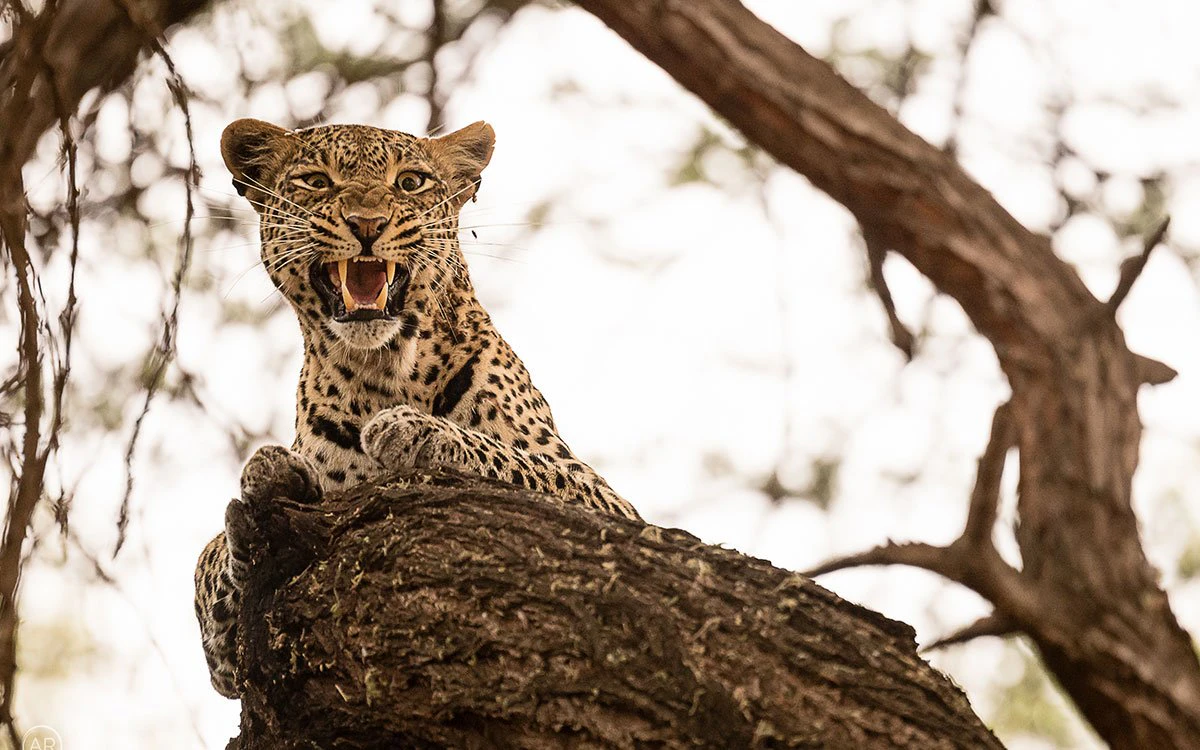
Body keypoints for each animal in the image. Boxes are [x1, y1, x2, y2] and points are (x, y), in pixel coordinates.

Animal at [194, 118, 642, 699]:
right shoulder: (226, 663)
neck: (384, 371)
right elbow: (206, 572)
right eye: (317, 182)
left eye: (409, 183)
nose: (366, 223)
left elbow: (521, 462)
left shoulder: (606, 502)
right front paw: (264, 483)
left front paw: (415, 431)